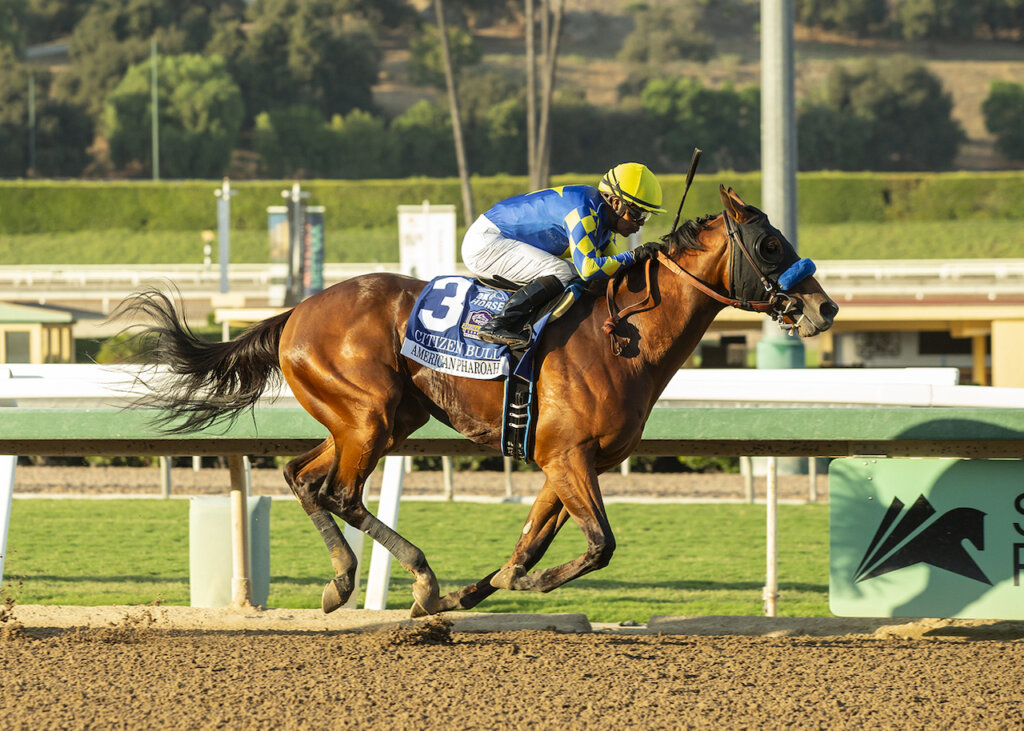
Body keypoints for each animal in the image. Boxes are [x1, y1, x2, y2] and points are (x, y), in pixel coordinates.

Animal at [121, 183, 839, 614]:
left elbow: (532, 543)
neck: (623, 337)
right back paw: (418, 575)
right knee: (341, 494)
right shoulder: (567, 456)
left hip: (379, 418)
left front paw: (473, 593)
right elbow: (598, 545)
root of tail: (297, 309)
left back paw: (344, 581)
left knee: (303, 476)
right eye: (770, 244)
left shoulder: (565, 462)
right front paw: (506, 587)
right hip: (369, 415)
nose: (824, 307)